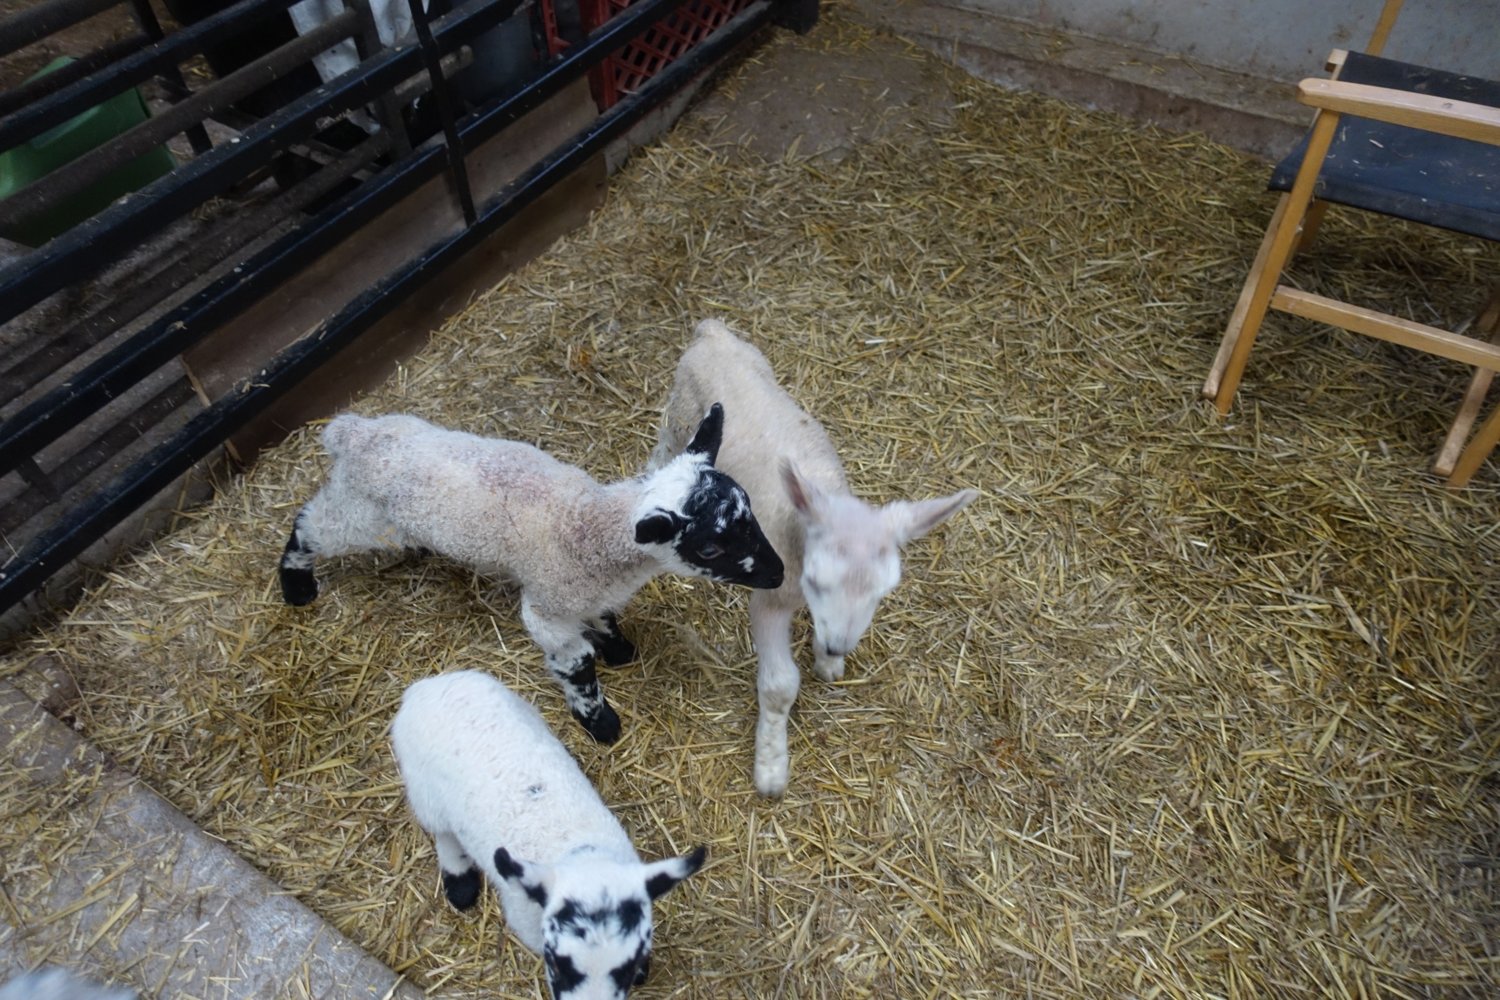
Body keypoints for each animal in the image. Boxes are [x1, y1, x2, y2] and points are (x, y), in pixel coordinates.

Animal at [279, 403, 783, 744]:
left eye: (750, 508)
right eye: (711, 546)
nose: (778, 574)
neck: (587, 527)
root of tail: (353, 434)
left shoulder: (583, 592)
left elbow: (602, 618)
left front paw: (619, 649)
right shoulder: (545, 608)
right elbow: (576, 664)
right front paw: (600, 722)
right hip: (366, 518)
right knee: (310, 525)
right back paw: (296, 585)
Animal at [391, 670, 706, 1000]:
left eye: (628, 966)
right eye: (556, 963)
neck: (578, 852)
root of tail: (428, 686)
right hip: (423, 789)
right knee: (443, 834)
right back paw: (460, 883)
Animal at [650, 320, 979, 796]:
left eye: (883, 591)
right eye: (817, 579)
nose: (838, 645)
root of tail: (711, 331)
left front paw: (829, 661)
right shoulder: (768, 596)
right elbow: (779, 685)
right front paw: (771, 766)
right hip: (679, 417)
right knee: (663, 453)